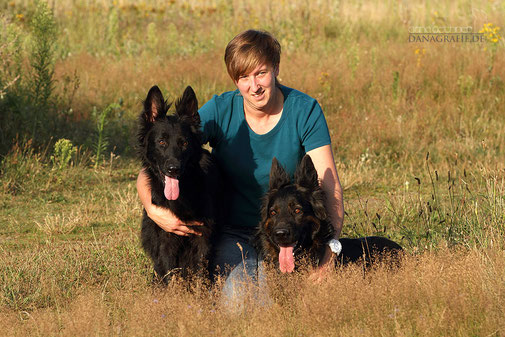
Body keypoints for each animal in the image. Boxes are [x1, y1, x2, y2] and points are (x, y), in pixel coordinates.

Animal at [137, 84, 220, 280]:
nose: (173, 169)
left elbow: (201, 274)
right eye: (161, 142)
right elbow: (170, 273)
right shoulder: (166, 237)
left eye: (184, 143)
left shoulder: (204, 236)